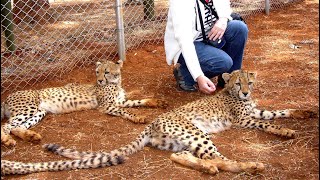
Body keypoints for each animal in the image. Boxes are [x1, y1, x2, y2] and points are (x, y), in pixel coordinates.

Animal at [0, 59, 168, 147]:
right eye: (97, 72)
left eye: (106, 72)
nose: (99, 80)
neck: (115, 83)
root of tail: (7, 97)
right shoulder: (106, 106)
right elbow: (126, 111)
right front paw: (137, 117)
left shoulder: (120, 101)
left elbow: (137, 101)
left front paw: (155, 101)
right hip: (28, 108)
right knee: (6, 125)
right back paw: (7, 139)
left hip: (39, 112)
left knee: (16, 127)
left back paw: (31, 136)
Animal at [0, 69, 316, 175]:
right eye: (239, 82)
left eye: (249, 81)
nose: (247, 90)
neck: (234, 94)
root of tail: (152, 125)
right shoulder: (247, 120)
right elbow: (269, 123)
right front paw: (286, 131)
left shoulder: (256, 111)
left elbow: (280, 111)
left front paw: (303, 115)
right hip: (196, 133)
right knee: (222, 159)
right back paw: (250, 165)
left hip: (184, 140)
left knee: (182, 156)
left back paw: (207, 167)